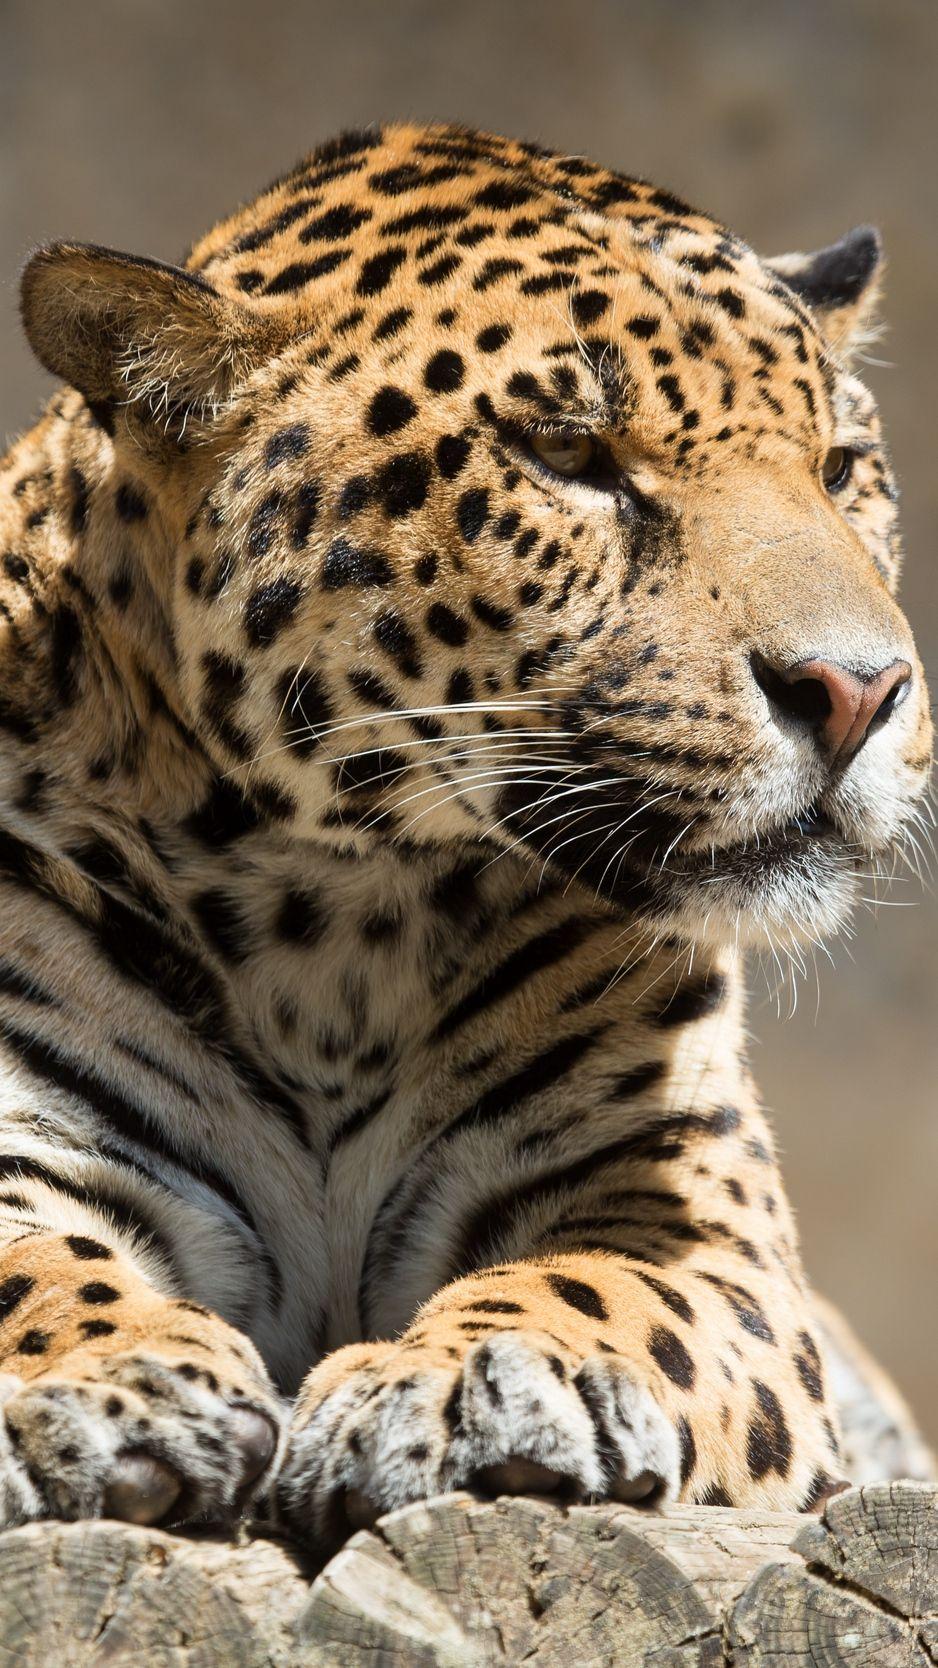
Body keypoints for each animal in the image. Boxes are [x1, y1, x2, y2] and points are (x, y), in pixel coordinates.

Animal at [0, 121, 931, 1550]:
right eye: (569, 456)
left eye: (839, 470)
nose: (858, 692)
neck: (327, 920)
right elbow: (31, 1266)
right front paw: (116, 1380)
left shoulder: (688, 1215)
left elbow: (601, 1284)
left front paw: (463, 1382)